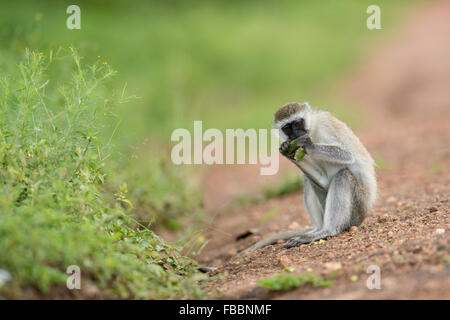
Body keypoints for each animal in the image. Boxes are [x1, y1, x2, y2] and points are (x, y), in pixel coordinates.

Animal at [243, 102, 376, 252]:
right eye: (287, 128)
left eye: (297, 123)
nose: (295, 134)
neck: (312, 132)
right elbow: (323, 180)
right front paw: (287, 150)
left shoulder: (325, 123)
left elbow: (348, 155)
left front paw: (308, 144)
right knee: (309, 181)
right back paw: (316, 230)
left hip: (358, 208)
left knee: (343, 176)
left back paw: (328, 231)